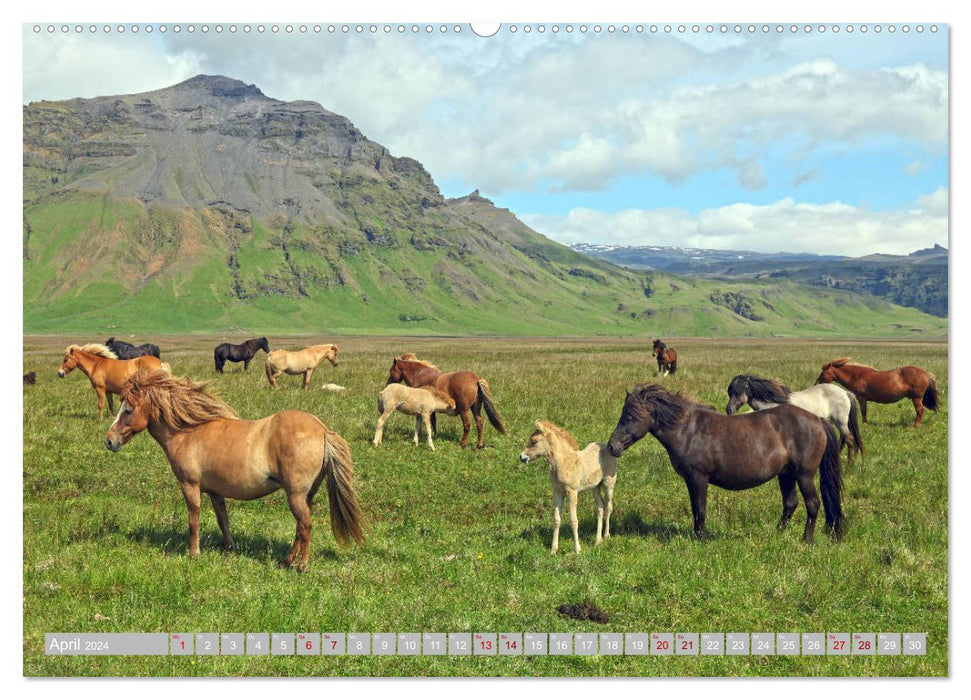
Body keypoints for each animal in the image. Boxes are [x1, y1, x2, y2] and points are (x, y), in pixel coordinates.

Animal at [104, 370, 366, 572]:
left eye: (128, 410)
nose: (109, 441)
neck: (188, 432)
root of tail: (322, 430)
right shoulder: (215, 492)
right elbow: (223, 520)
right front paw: (229, 549)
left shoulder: (190, 486)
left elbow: (193, 520)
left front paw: (193, 553)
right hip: (306, 496)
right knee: (300, 528)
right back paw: (286, 561)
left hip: (296, 495)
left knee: (305, 526)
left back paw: (301, 565)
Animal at [520, 418, 620, 556]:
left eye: (534, 441)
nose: (522, 457)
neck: (563, 463)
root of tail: (607, 447)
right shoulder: (557, 492)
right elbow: (557, 519)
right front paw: (553, 550)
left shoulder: (572, 492)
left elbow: (574, 520)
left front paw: (577, 549)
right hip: (595, 487)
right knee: (600, 507)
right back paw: (597, 540)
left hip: (608, 484)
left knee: (609, 506)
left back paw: (606, 536)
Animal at [608, 382, 844, 540]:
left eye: (631, 416)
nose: (612, 446)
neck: (687, 430)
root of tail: (818, 420)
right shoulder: (690, 480)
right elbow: (694, 508)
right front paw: (696, 536)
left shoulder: (699, 478)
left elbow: (700, 508)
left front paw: (701, 539)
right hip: (786, 474)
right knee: (790, 503)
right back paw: (778, 534)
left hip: (804, 475)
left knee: (812, 504)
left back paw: (806, 540)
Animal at [728, 374, 864, 462]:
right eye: (730, 392)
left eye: (739, 391)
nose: (729, 410)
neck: (772, 404)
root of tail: (845, 392)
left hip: (841, 423)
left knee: (850, 440)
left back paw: (850, 464)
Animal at [812, 360, 940, 426]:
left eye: (823, 373)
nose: (815, 384)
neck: (857, 376)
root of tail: (926, 374)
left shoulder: (862, 398)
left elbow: (863, 411)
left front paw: (865, 425)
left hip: (916, 398)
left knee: (920, 410)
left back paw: (916, 426)